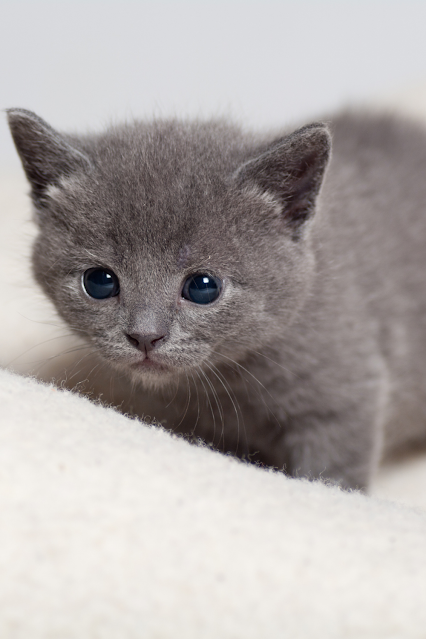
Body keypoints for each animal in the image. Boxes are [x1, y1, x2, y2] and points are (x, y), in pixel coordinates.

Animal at [6, 110, 426, 490]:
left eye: (203, 287)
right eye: (99, 282)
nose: (145, 336)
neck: (226, 387)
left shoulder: (345, 400)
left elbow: (331, 477)